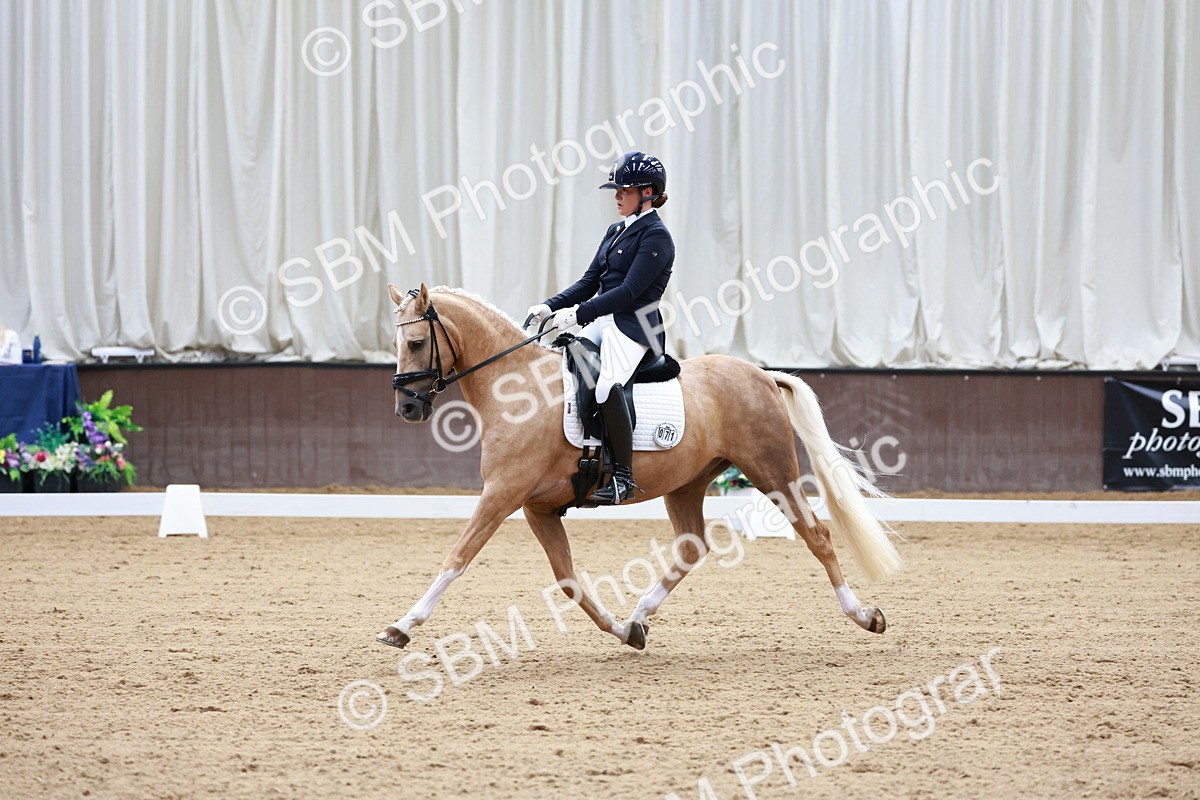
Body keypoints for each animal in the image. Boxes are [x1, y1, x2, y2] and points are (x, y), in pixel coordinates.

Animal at [377, 283, 902, 651]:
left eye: (418, 342)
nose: (407, 408)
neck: (516, 387)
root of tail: (761, 375)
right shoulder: (536, 507)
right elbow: (568, 580)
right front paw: (621, 631)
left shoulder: (503, 493)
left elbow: (457, 556)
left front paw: (401, 626)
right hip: (688, 482)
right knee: (692, 546)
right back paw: (638, 617)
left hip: (773, 471)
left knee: (818, 535)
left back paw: (865, 616)